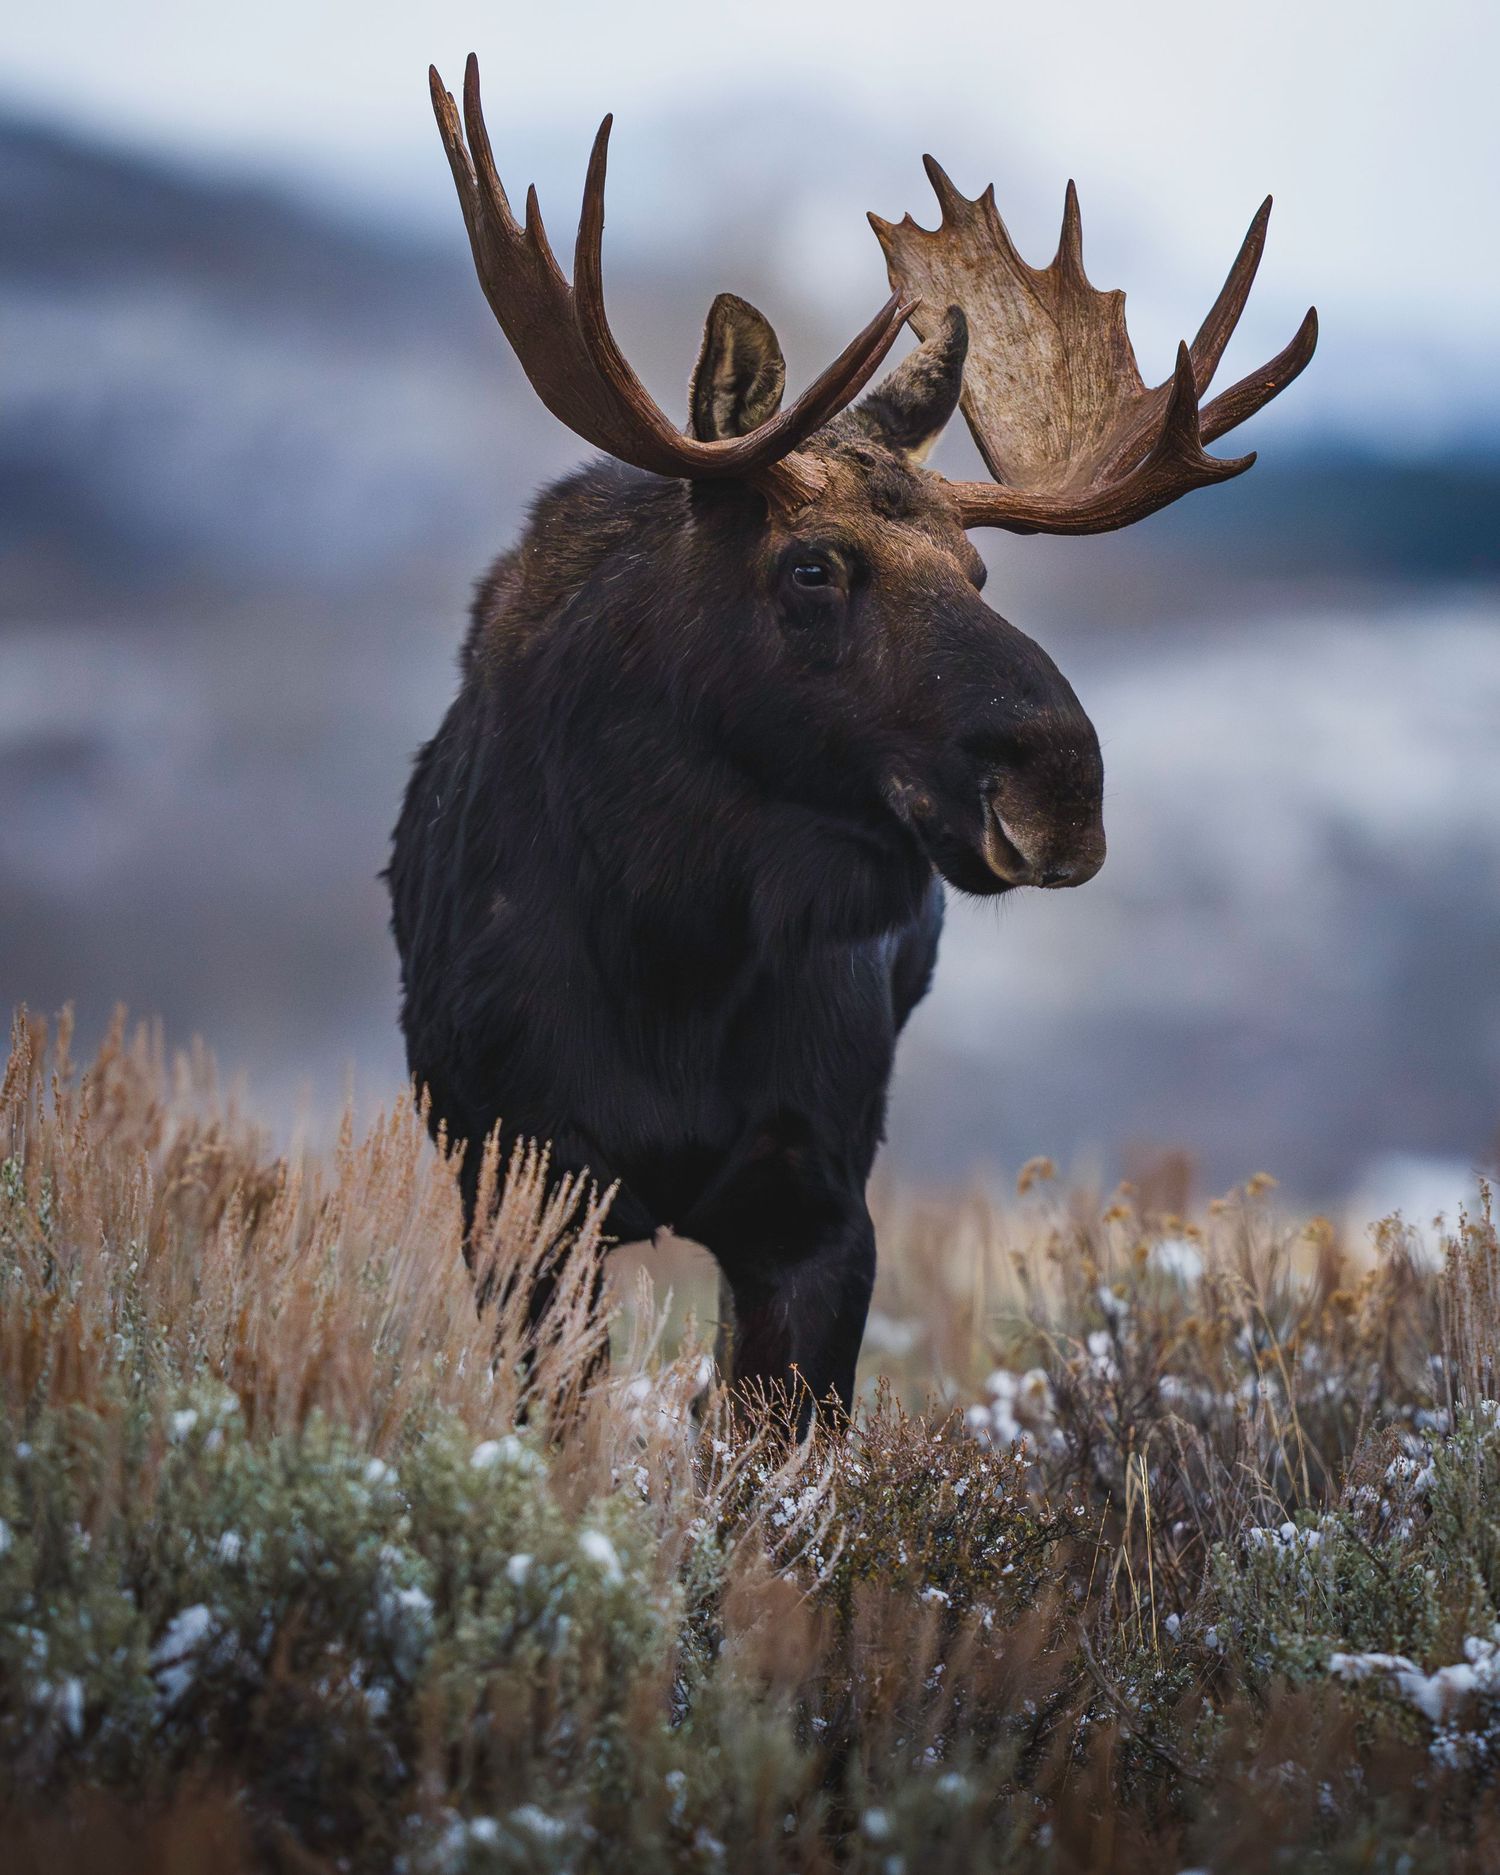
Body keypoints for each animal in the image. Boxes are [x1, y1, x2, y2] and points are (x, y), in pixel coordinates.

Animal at [388, 54, 1316, 1426]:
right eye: (811, 567)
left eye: (981, 569)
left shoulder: (817, 1202)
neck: (673, 948)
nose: (1064, 784)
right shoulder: (526, 1183)